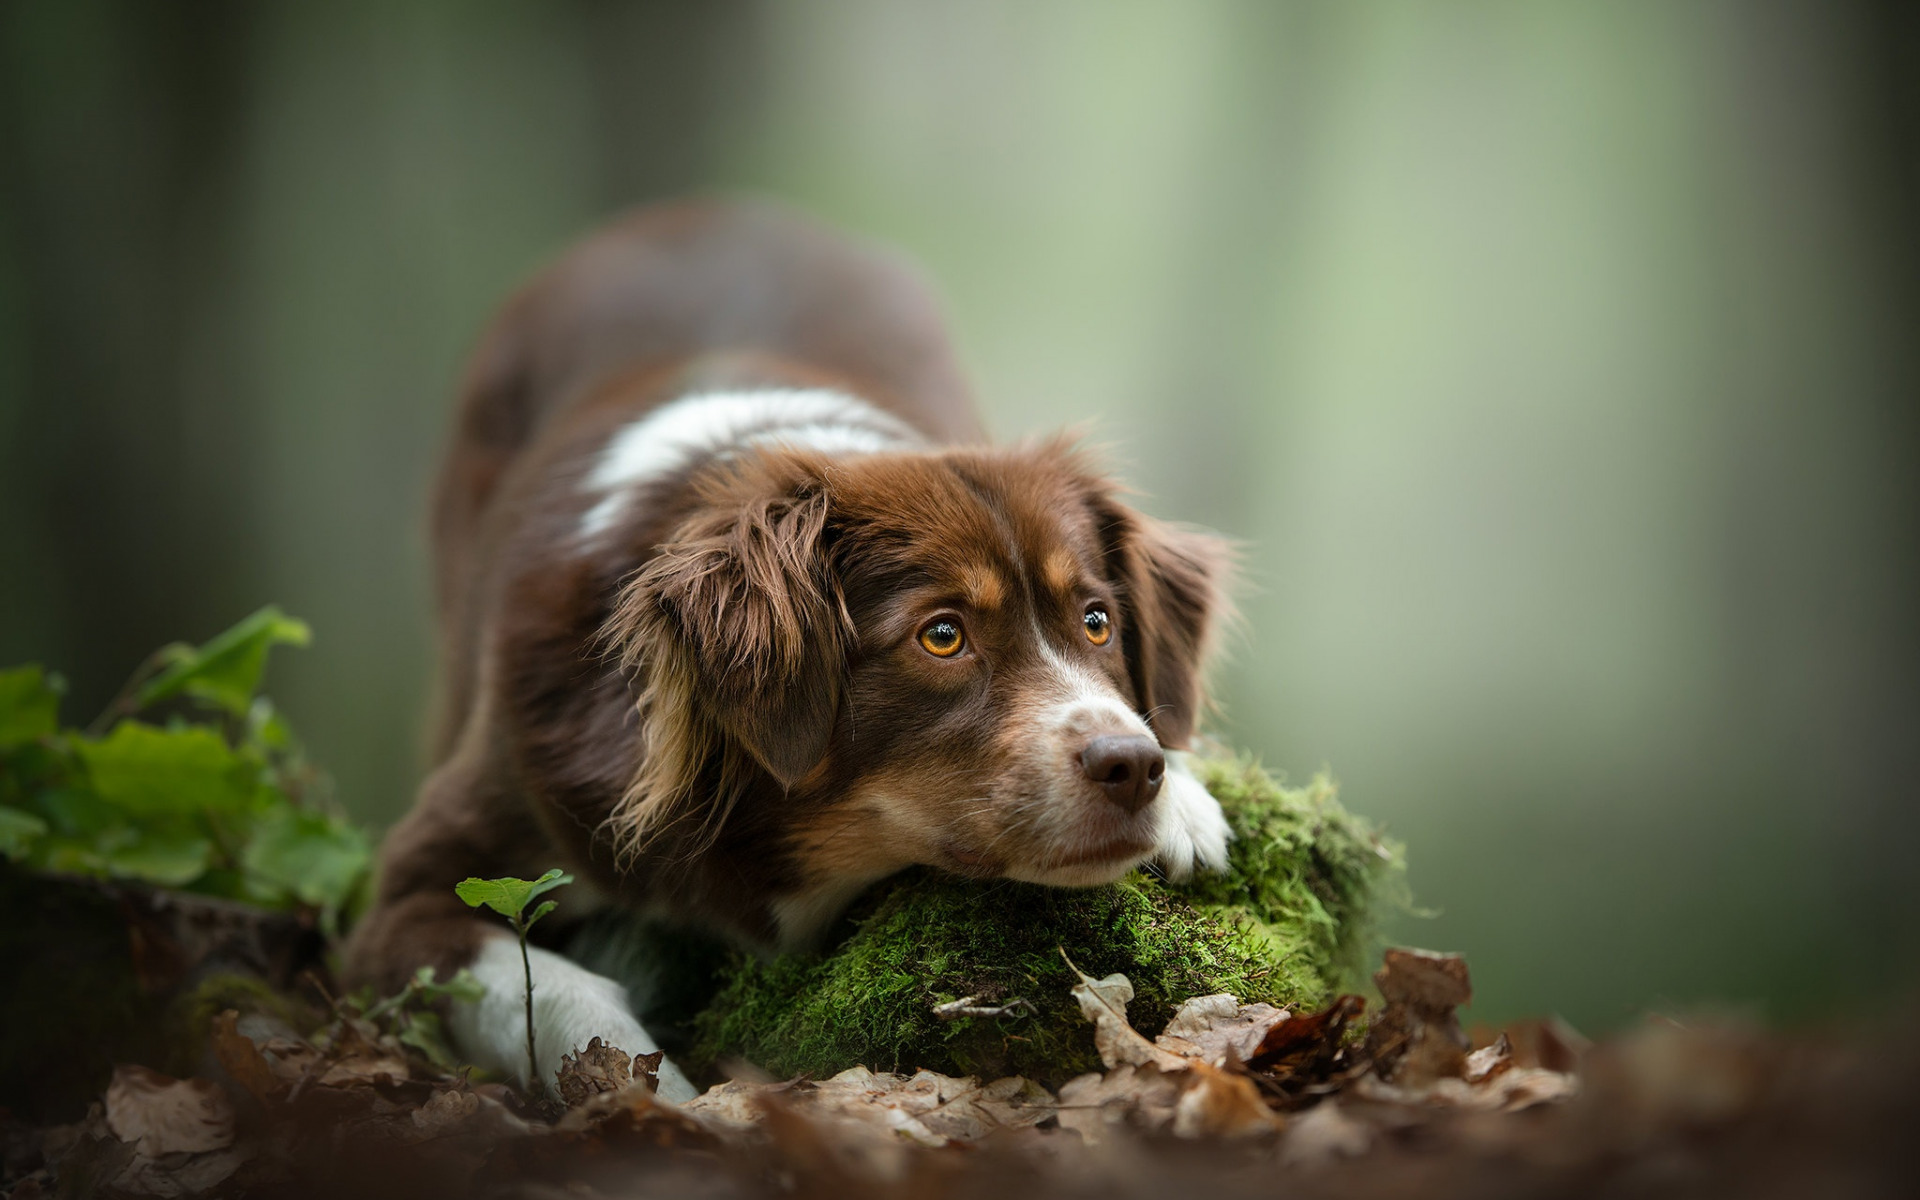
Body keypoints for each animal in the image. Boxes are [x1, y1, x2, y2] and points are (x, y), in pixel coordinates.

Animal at [347, 198, 1236, 1105]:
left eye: (1096, 622)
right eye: (942, 635)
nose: (1133, 767)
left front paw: (1185, 798)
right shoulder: (417, 888)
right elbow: (565, 995)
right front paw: (673, 1105)